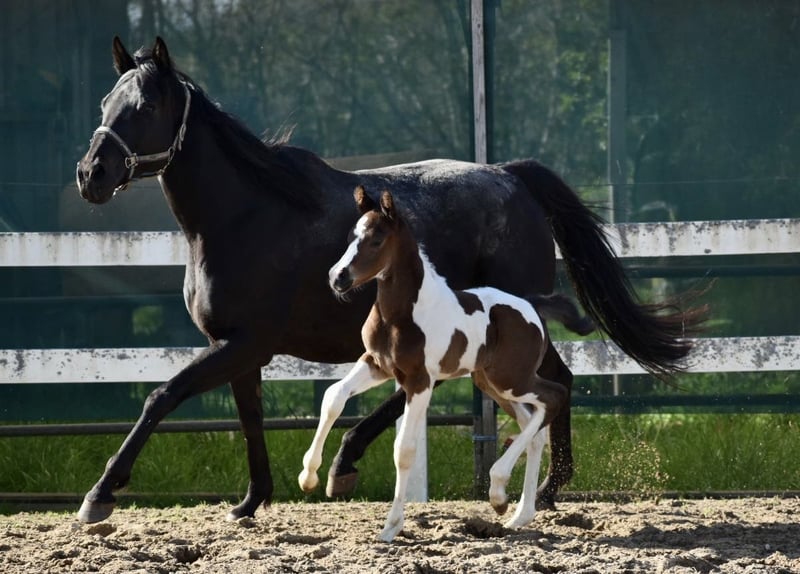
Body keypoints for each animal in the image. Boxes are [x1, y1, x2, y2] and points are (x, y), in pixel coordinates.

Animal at [299, 187, 594, 541]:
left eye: (376, 240)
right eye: (350, 237)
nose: (338, 277)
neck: (401, 315)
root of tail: (532, 306)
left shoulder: (419, 381)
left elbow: (404, 450)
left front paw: (390, 527)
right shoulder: (376, 364)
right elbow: (333, 397)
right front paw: (308, 477)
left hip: (513, 379)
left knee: (553, 397)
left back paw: (499, 489)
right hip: (491, 384)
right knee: (533, 426)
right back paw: (517, 512)